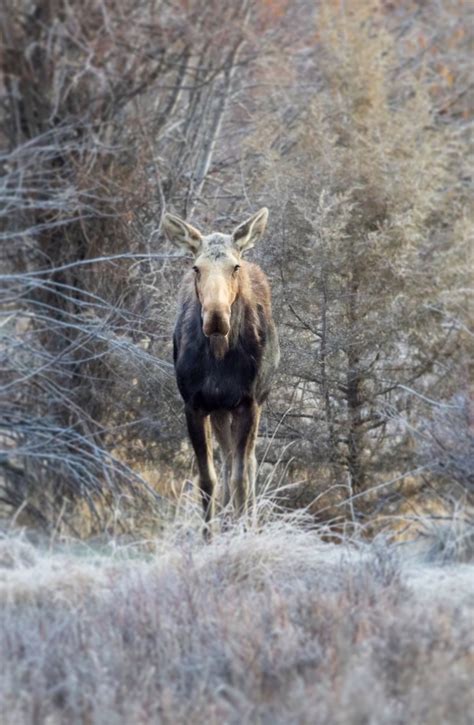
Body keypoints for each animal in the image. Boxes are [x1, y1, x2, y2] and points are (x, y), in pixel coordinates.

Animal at [164, 206, 280, 528]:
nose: (216, 317)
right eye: (196, 268)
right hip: (219, 410)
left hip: (252, 403)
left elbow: (242, 478)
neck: (218, 357)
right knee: (227, 461)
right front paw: (211, 533)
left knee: (248, 464)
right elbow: (208, 480)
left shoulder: (248, 403)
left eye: (234, 267)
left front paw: (243, 530)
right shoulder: (194, 404)